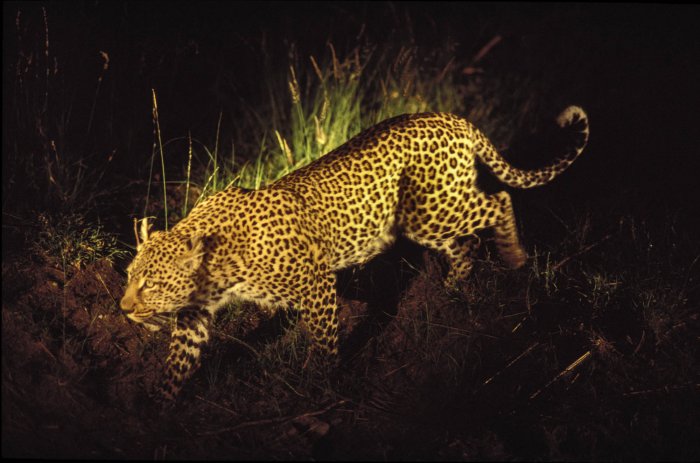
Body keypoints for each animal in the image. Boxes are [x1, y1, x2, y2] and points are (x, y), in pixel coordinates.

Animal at [120, 105, 592, 402]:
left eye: (152, 284)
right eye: (128, 276)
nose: (123, 308)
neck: (214, 265)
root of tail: (450, 117)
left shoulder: (315, 284)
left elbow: (325, 339)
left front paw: (320, 383)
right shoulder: (195, 314)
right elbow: (179, 362)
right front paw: (158, 407)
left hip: (432, 211)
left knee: (498, 201)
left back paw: (514, 258)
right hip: (424, 218)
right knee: (467, 241)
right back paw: (454, 288)